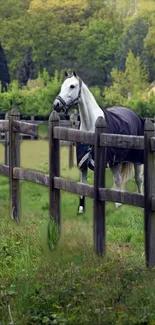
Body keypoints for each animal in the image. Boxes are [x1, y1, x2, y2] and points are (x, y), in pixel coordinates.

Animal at [53, 71, 144, 213]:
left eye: (72, 86)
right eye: (63, 85)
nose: (56, 104)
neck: (91, 125)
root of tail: (134, 115)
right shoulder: (83, 164)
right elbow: (82, 184)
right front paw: (81, 209)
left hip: (136, 159)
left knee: (138, 179)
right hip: (116, 162)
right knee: (118, 179)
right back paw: (118, 203)